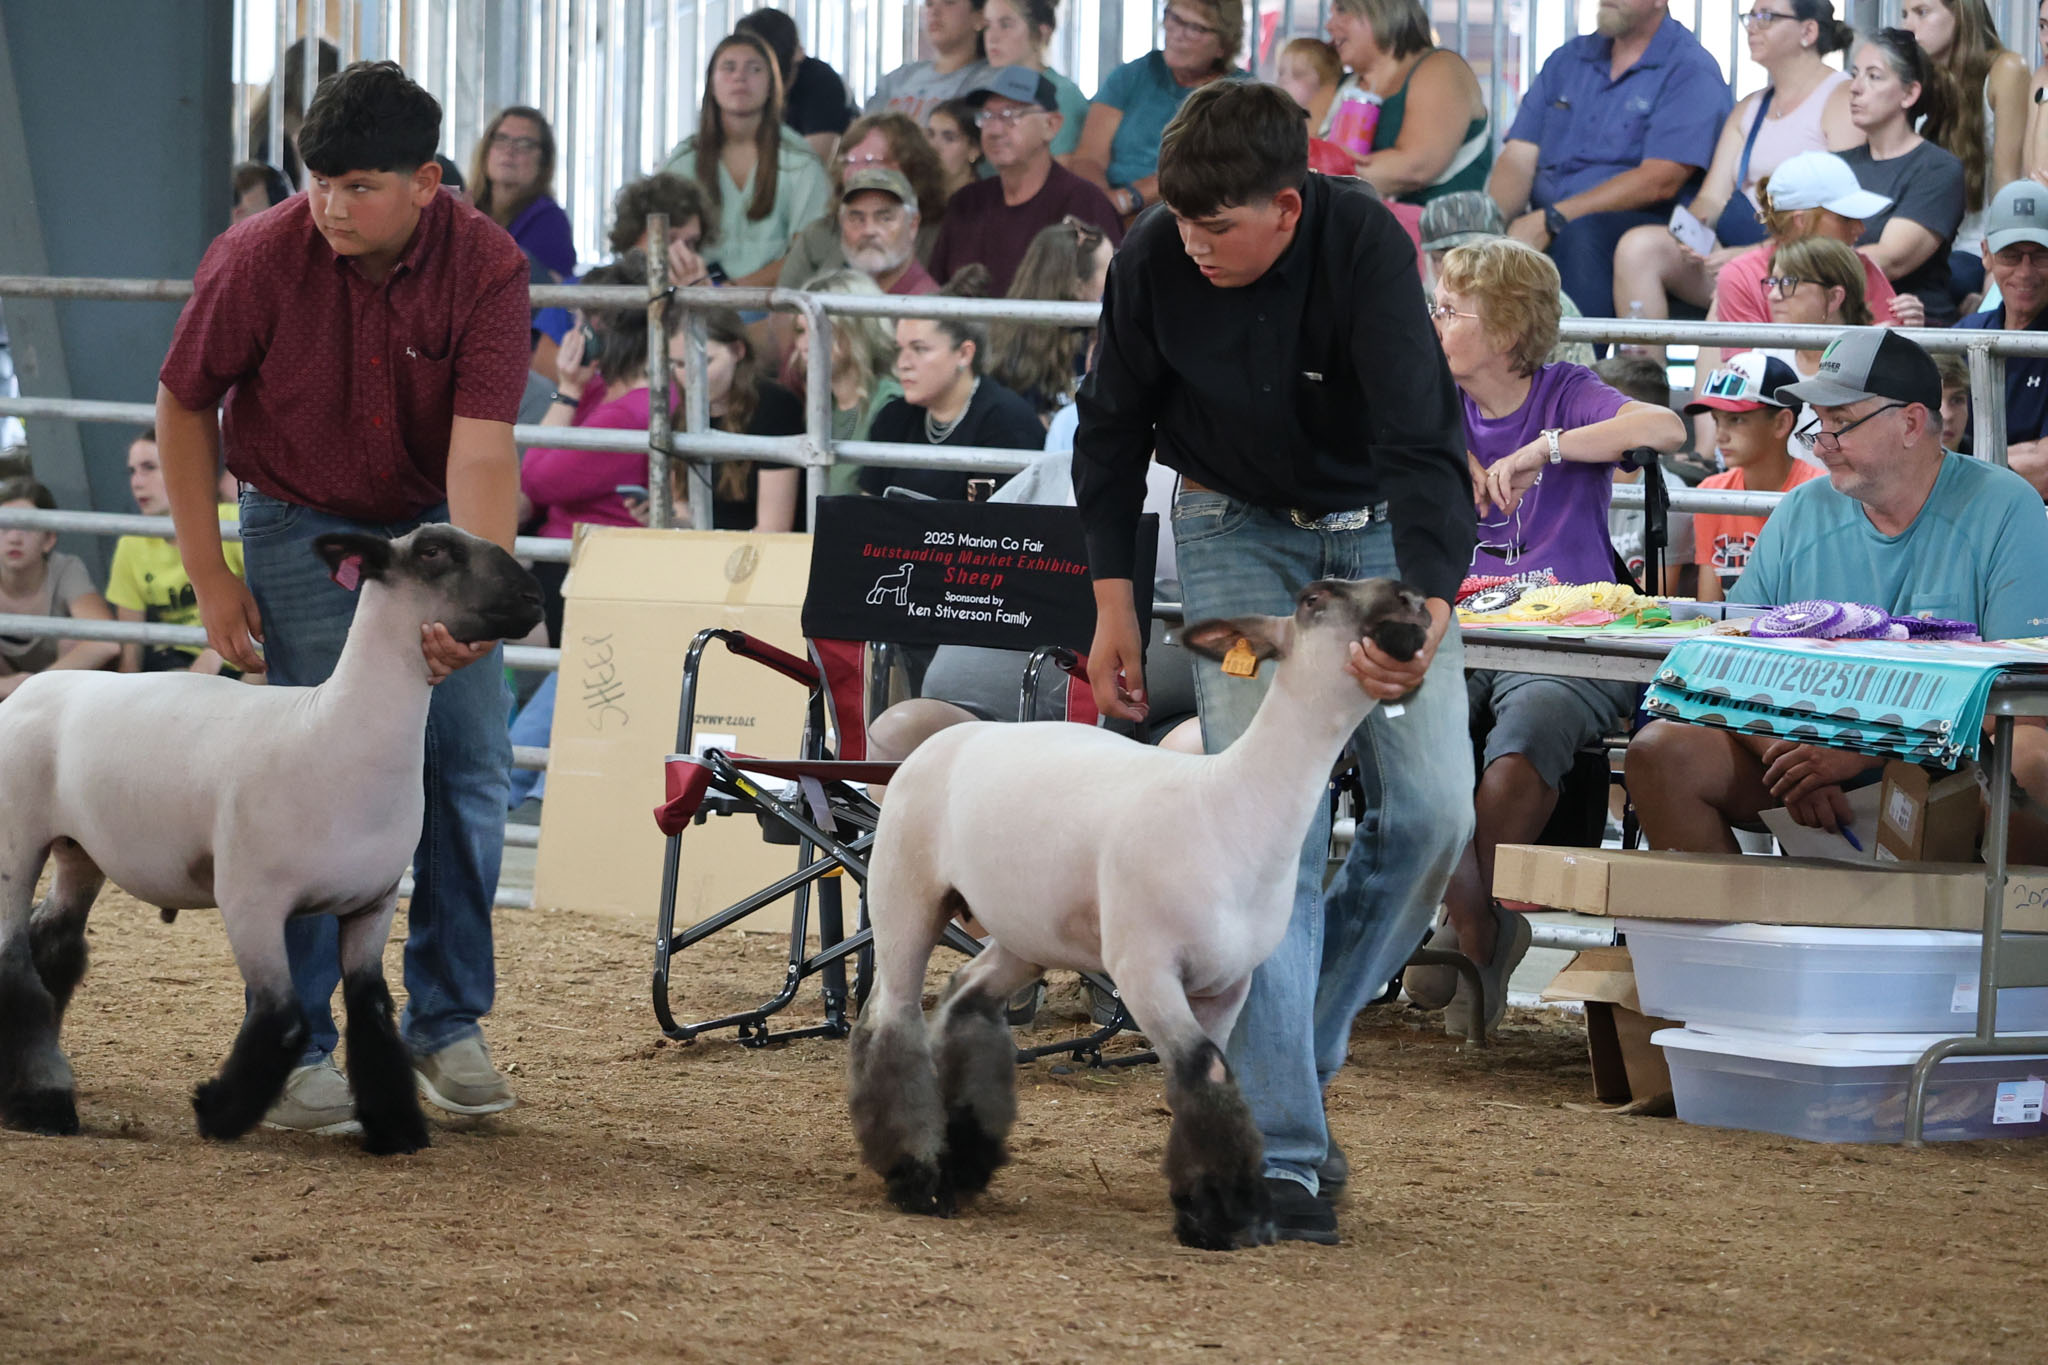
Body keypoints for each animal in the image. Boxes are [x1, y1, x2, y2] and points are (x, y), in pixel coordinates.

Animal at [0, 525, 542, 1155]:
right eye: (433, 552)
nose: (533, 600)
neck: (336, 728)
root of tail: (32, 687)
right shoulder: (251, 900)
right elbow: (283, 1019)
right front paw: (217, 1111)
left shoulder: (373, 903)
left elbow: (372, 1013)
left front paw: (396, 1127)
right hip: (15, 841)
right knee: (16, 964)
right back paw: (43, 1102)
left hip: (80, 849)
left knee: (52, 944)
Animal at [846, 576, 1431, 1250]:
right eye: (1314, 599)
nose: (1413, 600)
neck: (1234, 804)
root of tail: (942, 738)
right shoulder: (1144, 967)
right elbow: (1204, 1071)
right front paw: (1226, 1216)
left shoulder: (1229, 983)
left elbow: (1208, 1078)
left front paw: (1209, 1206)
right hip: (904, 889)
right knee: (889, 1018)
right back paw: (916, 1176)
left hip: (1027, 927)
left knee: (966, 995)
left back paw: (966, 1162)